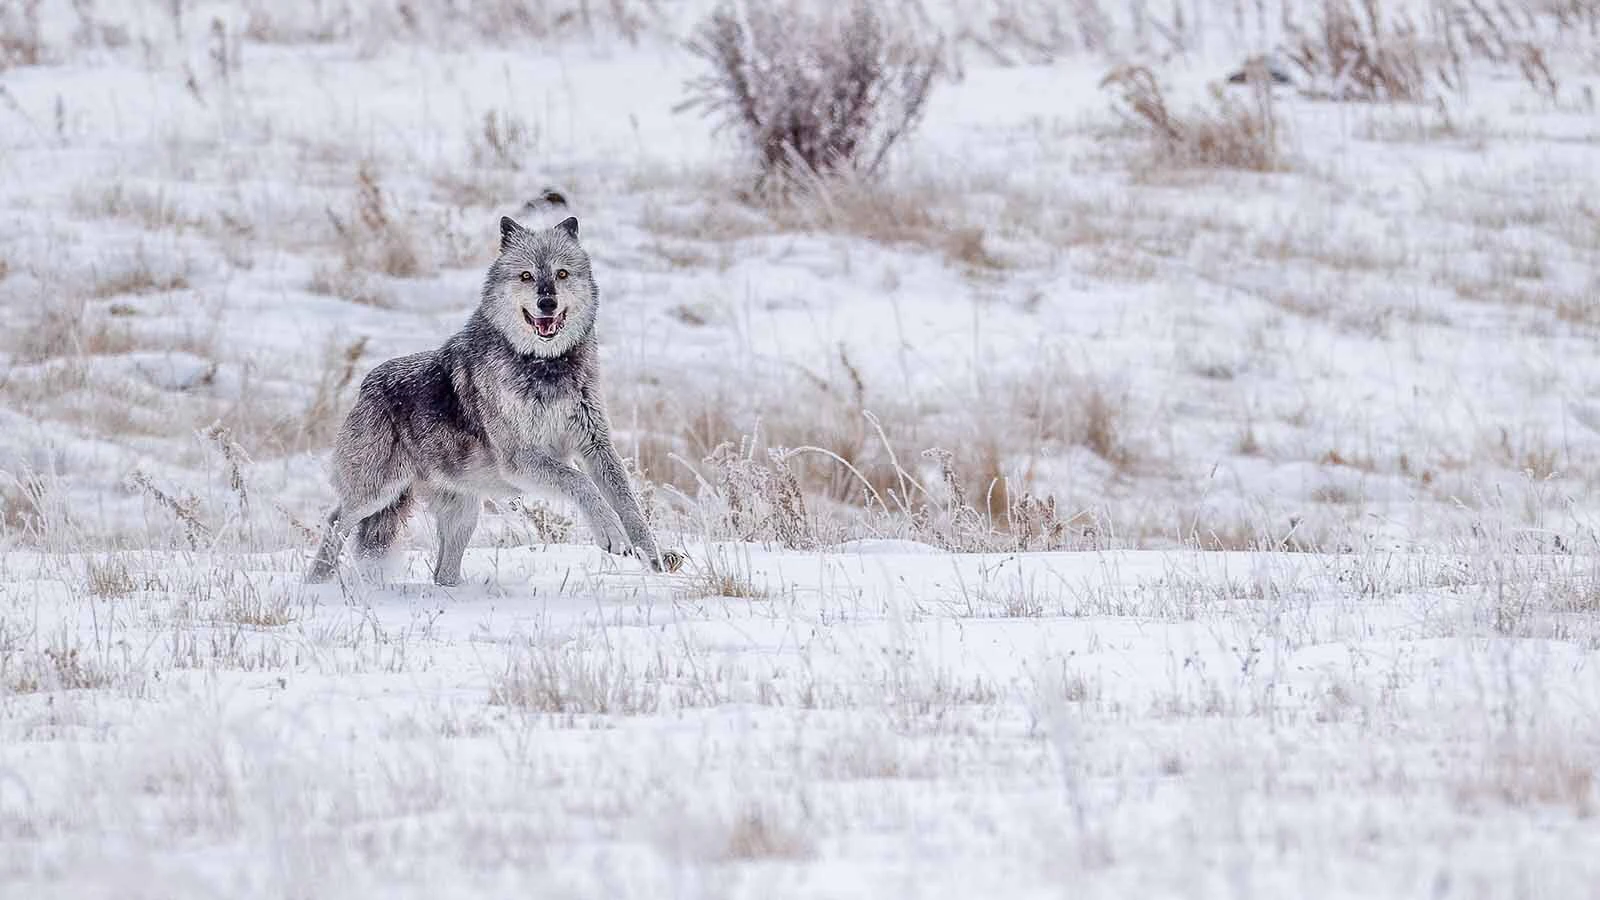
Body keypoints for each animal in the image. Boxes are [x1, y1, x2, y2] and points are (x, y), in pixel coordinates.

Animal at [307, 215, 677, 586]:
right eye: (526, 276)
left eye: (561, 274)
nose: (547, 303)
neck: (544, 366)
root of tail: (365, 385)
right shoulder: (521, 459)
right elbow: (580, 483)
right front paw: (611, 535)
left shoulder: (596, 445)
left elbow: (629, 503)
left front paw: (653, 558)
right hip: (375, 494)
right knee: (335, 520)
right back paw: (317, 582)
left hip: (463, 514)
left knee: (442, 573)